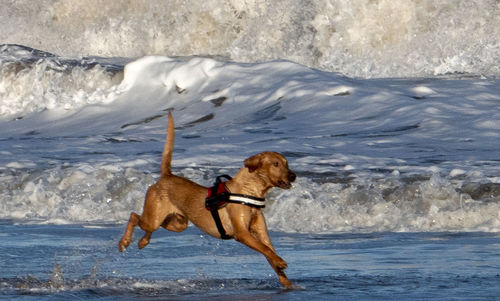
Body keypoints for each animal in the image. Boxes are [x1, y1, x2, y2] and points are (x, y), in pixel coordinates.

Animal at [118, 111, 294, 288]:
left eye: (286, 164)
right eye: (276, 164)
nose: (293, 176)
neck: (249, 191)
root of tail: (166, 177)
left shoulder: (262, 234)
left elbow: (269, 251)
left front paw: (286, 281)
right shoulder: (242, 234)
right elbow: (264, 249)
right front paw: (281, 262)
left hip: (177, 224)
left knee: (151, 225)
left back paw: (143, 241)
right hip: (154, 218)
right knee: (134, 216)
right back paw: (124, 242)